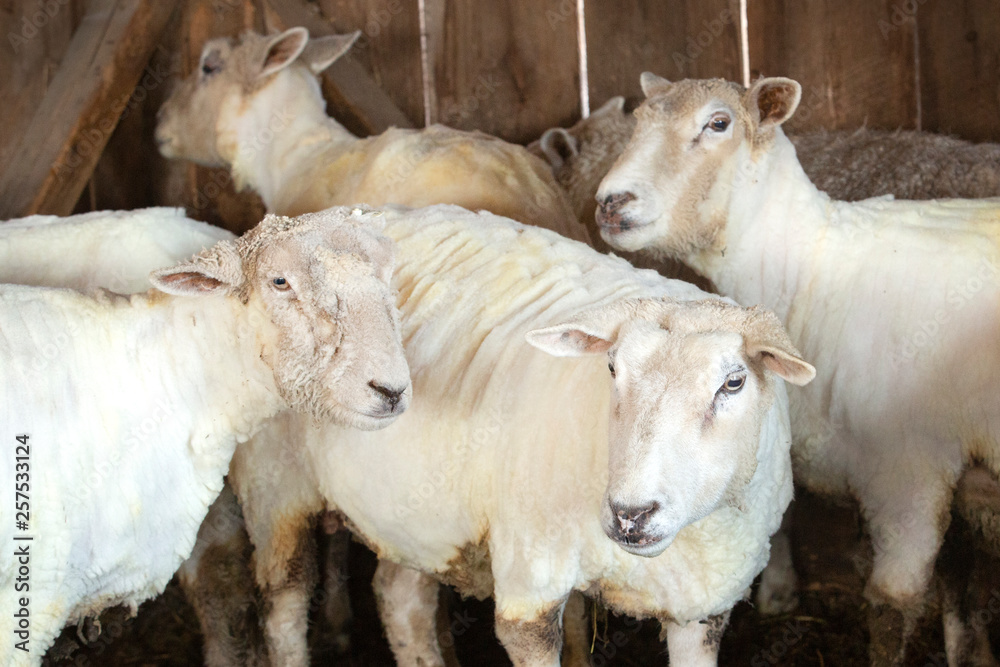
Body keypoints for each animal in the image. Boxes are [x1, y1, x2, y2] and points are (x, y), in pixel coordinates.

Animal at [182, 204, 814, 667]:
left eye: (733, 383)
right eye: (612, 369)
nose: (631, 515)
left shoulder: (702, 609)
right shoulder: (530, 585)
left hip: (413, 505)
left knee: (400, 599)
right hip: (276, 489)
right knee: (285, 605)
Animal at [595, 73, 1000, 666]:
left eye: (718, 123)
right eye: (641, 119)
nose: (610, 201)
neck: (809, 274)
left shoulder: (911, 469)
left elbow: (892, 605)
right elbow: (959, 590)